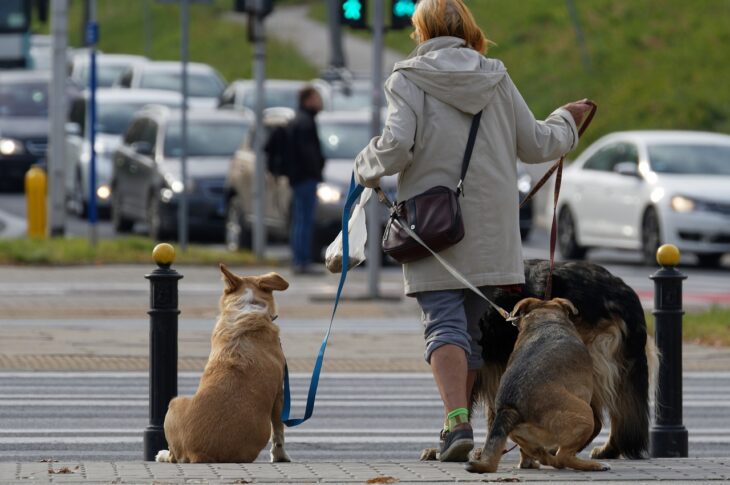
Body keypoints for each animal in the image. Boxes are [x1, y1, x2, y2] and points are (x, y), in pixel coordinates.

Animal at [156, 266, 290, 464]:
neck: (247, 306)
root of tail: (198, 454)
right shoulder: (280, 394)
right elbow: (278, 432)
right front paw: (280, 456)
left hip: (175, 403)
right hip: (174, 402)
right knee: (173, 456)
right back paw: (162, 454)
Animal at [466, 296, 608, 470]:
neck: (546, 318)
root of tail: (510, 408)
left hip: (521, 436)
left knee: (543, 455)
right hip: (585, 415)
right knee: (563, 457)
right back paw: (594, 465)